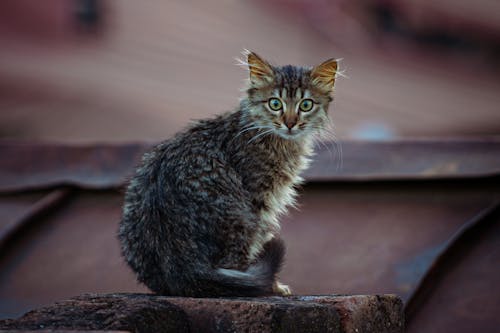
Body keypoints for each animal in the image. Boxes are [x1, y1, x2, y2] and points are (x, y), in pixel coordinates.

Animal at [118, 51, 340, 296]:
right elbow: (258, 246)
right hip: (241, 218)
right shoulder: (260, 198)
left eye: (306, 105)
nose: (290, 123)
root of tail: (180, 265)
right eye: (275, 104)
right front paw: (275, 287)